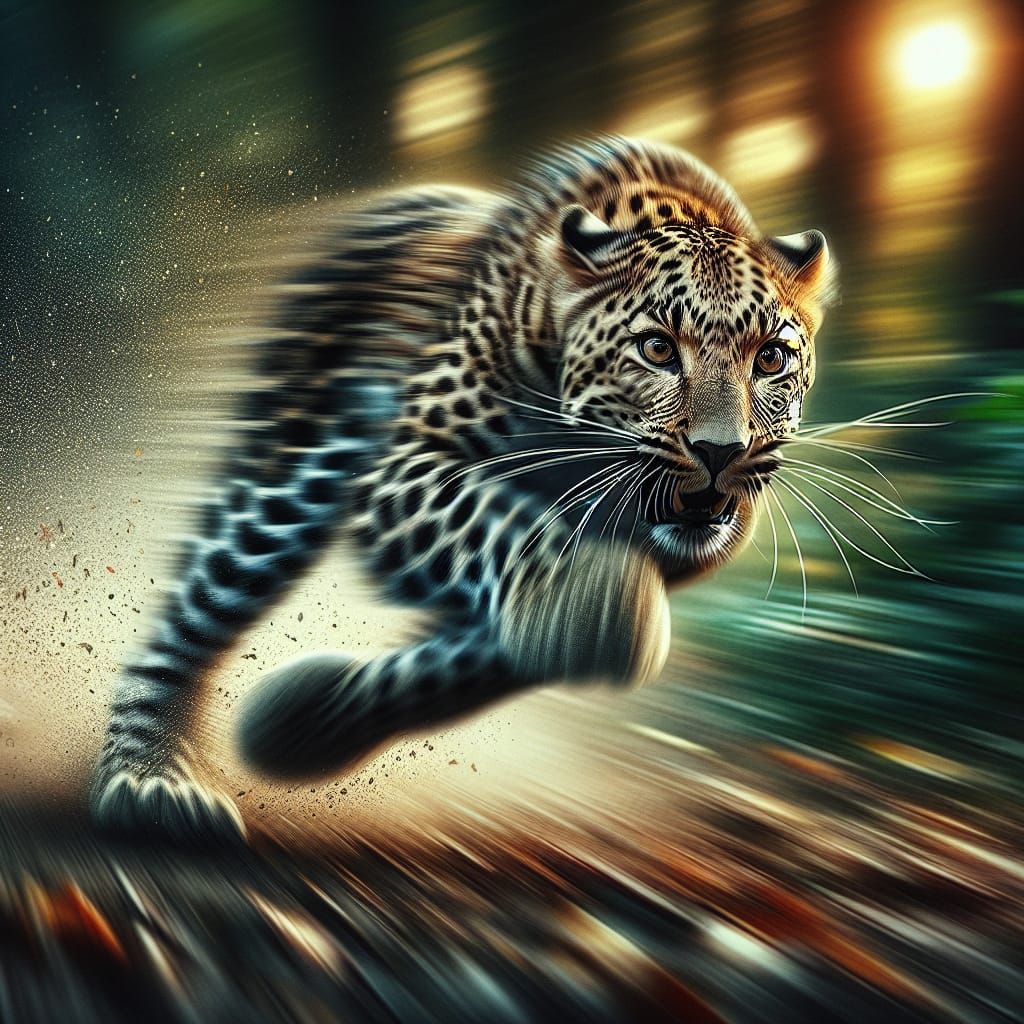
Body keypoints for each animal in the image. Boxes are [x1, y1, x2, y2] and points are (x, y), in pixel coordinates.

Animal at [90, 136, 836, 844]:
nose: (721, 451)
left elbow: (477, 658)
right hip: (290, 476)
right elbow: (510, 533)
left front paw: (306, 717)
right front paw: (590, 605)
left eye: (772, 358)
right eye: (656, 349)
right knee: (193, 611)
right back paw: (148, 779)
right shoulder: (409, 465)